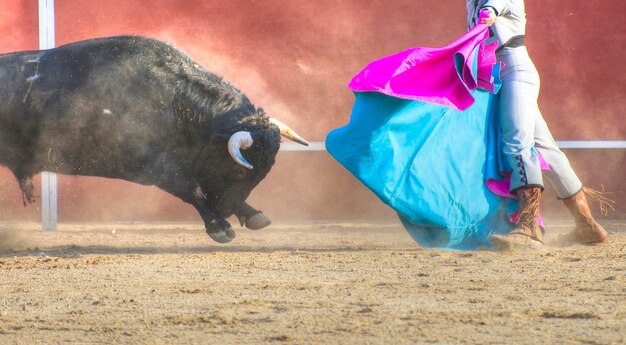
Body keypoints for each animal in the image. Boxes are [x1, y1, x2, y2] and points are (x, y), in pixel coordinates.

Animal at [0, 35, 308, 242]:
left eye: (264, 173)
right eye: (240, 170)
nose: (226, 209)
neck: (173, 102)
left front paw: (252, 214)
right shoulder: (151, 164)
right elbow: (190, 187)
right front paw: (219, 227)